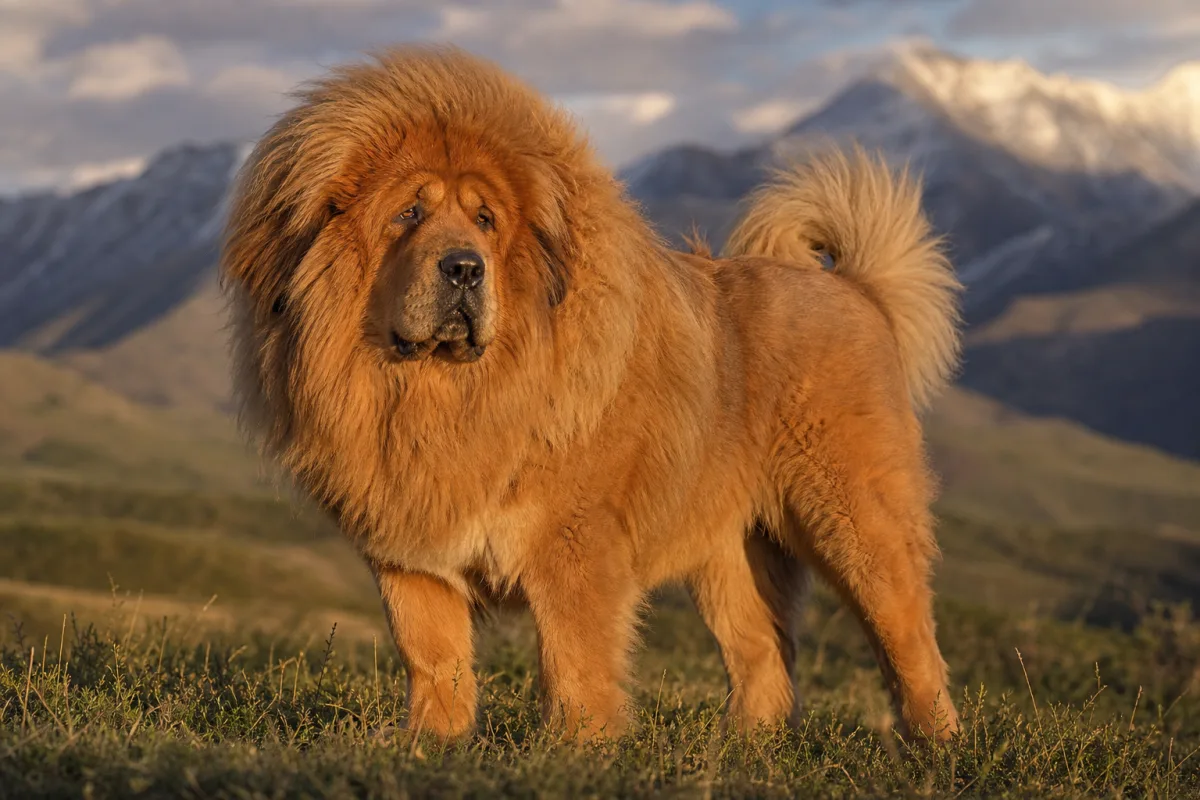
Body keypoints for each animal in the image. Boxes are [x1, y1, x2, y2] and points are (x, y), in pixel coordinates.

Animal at [221, 46, 963, 743]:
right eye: (408, 213)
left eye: (485, 220)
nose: (464, 268)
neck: (444, 397)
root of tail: (853, 287)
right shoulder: (412, 558)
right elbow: (434, 661)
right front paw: (431, 743)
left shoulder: (573, 549)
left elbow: (574, 663)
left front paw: (576, 750)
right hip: (728, 551)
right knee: (762, 654)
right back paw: (747, 746)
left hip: (856, 524)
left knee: (911, 644)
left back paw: (940, 747)